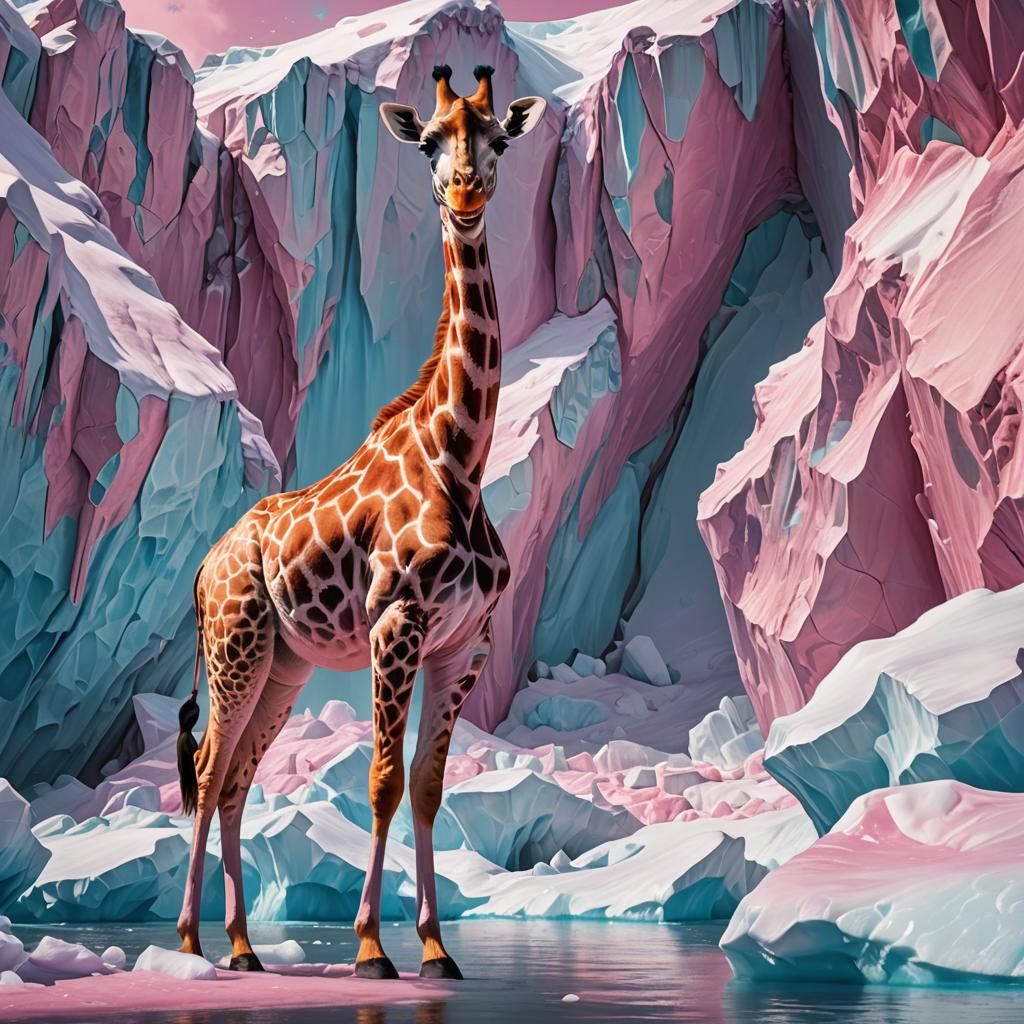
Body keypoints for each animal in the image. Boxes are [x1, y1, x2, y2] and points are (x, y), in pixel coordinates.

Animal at [174, 64, 546, 981]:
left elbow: (429, 787)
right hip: (234, 649)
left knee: (236, 779)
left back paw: (244, 947)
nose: (464, 192)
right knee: (207, 768)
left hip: (285, 667)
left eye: (498, 137)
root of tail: (202, 565)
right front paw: (374, 948)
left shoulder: (465, 641)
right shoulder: (396, 622)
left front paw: (438, 950)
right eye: (428, 143)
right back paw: (192, 940)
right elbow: (381, 780)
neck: (460, 457)